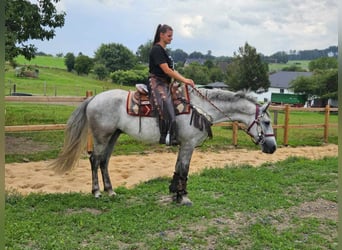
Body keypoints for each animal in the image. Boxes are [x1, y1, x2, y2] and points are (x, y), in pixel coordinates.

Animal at [50, 87, 276, 206]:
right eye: (266, 122)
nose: (272, 147)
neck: (200, 109)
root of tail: (94, 98)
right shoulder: (188, 145)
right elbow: (184, 169)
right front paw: (183, 197)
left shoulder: (183, 146)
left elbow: (177, 169)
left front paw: (175, 194)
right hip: (101, 137)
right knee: (95, 160)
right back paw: (96, 192)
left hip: (113, 136)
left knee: (104, 161)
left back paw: (110, 191)